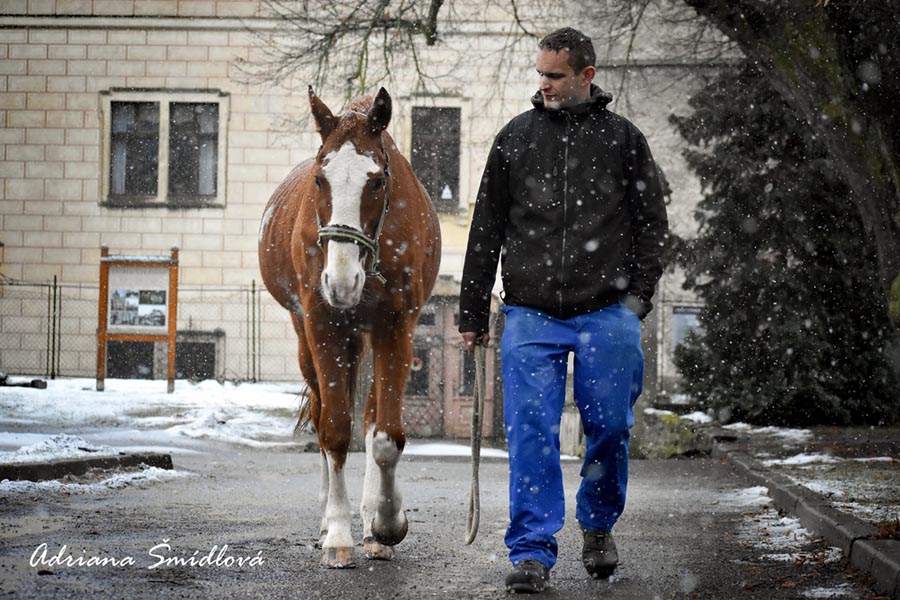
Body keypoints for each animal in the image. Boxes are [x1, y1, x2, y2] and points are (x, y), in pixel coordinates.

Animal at [258, 88, 442, 568]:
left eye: (376, 182)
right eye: (320, 180)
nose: (341, 281)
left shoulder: (396, 326)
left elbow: (386, 435)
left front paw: (386, 522)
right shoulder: (323, 323)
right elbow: (335, 429)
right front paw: (338, 533)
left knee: (373, 417)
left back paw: (372, 523)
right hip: (310, 336)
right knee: (323, 412)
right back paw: (329, 518)